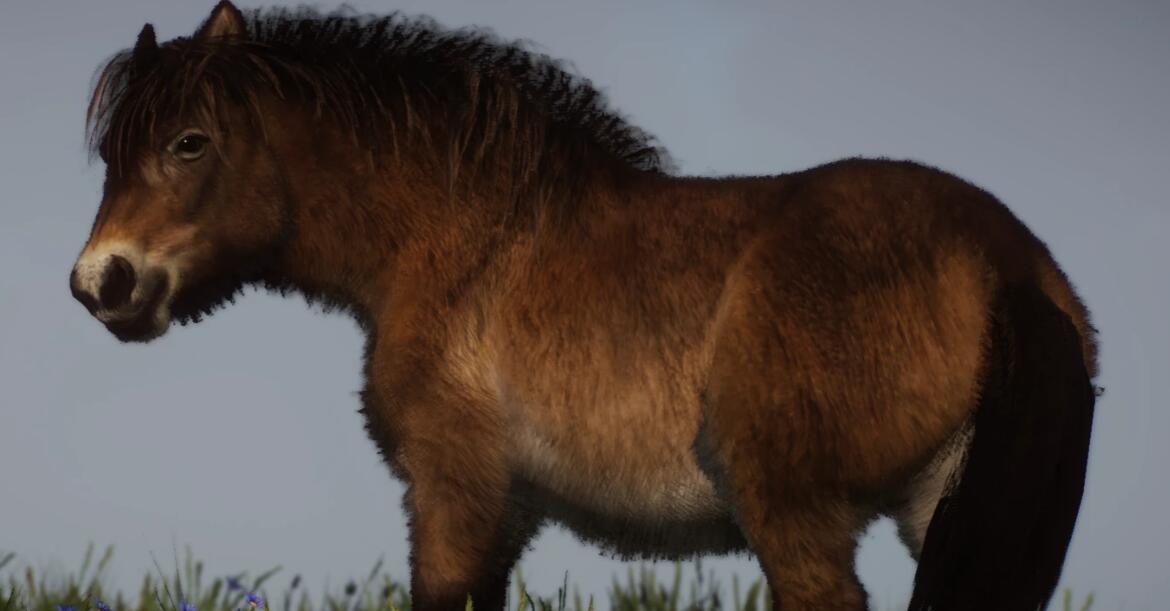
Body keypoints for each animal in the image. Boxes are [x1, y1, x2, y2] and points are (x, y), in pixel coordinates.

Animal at [70, 2, 1098, 609]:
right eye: (114, 153)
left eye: (190, 141)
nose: (99, 282)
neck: (471, 237)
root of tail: (1008, 261)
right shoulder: (508, 513)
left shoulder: (454, 494)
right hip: (937, 514)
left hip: (797, 515)